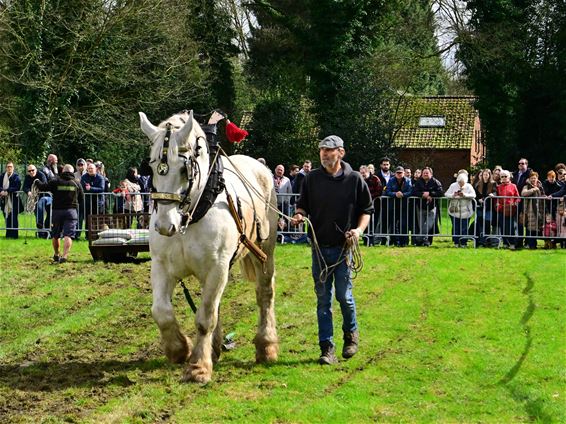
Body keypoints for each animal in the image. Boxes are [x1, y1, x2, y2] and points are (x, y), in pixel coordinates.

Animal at [138, 111, 280, 382]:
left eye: (184, 169)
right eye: (151, 167)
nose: (164, 226)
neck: (191, 217)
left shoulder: (217, 267)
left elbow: (205, 318)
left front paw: (198, 367)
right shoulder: (161, 266)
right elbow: (161, 311)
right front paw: (179, 350)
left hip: (264, 250)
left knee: (264, 293)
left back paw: (266, 346)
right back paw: (214, 347)